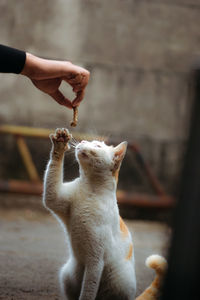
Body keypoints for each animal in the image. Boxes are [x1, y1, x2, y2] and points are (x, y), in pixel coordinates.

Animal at [43, 127, 166, 298]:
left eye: (97, 146)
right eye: (88, 141)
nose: (82, 141)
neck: (90, 190)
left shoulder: (95, 261)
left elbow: (88, 292)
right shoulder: (55, 198)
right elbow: (52, 179)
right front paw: (60, 144)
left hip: (118, 283)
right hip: (66, 274)